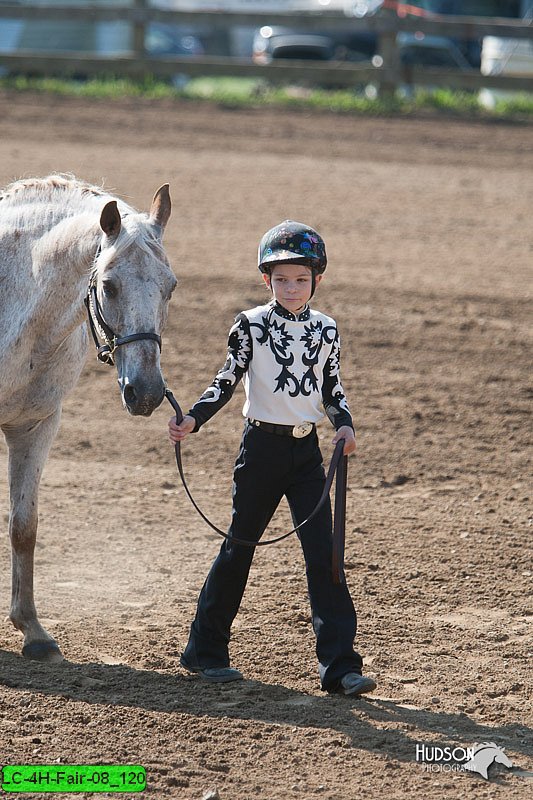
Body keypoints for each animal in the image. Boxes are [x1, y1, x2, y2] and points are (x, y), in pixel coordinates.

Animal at [0, 175, 176, 664]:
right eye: (110, 286)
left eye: (170, 286)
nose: (146, 392)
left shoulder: (36, 426)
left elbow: (24, 527)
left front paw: (33, 631)